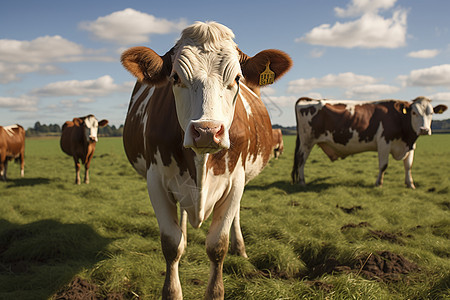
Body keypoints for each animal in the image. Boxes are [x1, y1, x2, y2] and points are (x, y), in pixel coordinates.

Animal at [119, 21, 292, 300]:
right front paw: (172, 290)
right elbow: (171, 244)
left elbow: (217, 245)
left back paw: (240, 247)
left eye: (237, 78)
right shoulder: (155, 181)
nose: (207, 130)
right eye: (175, 77)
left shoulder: (235, 181)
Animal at [292, 97, 446, 189]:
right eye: (414, 113)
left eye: (431, 113)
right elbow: (383, 165)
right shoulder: (384, 142)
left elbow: (408, 166)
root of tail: (310, 99)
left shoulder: (410, 146)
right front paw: (378, 184)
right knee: (301, 160)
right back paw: (302, 182)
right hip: (307, 142)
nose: (424, 130)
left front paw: (410, 184)